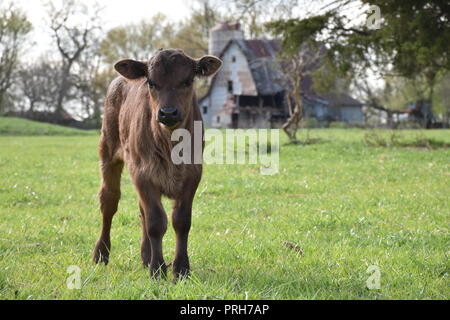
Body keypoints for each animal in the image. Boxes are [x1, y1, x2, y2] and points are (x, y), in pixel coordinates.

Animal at [93, 48, 223, 278]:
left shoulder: (193, 174)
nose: (168, 112)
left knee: (141, 211)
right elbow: (155, 221)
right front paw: (157, 268)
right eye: (151, 82)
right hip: (108, 151)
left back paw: (146, 256)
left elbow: (181, 221)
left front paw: (181, 268)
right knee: (109, 201)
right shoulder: (142, 173)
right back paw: (101, 254)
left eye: (187, 81)